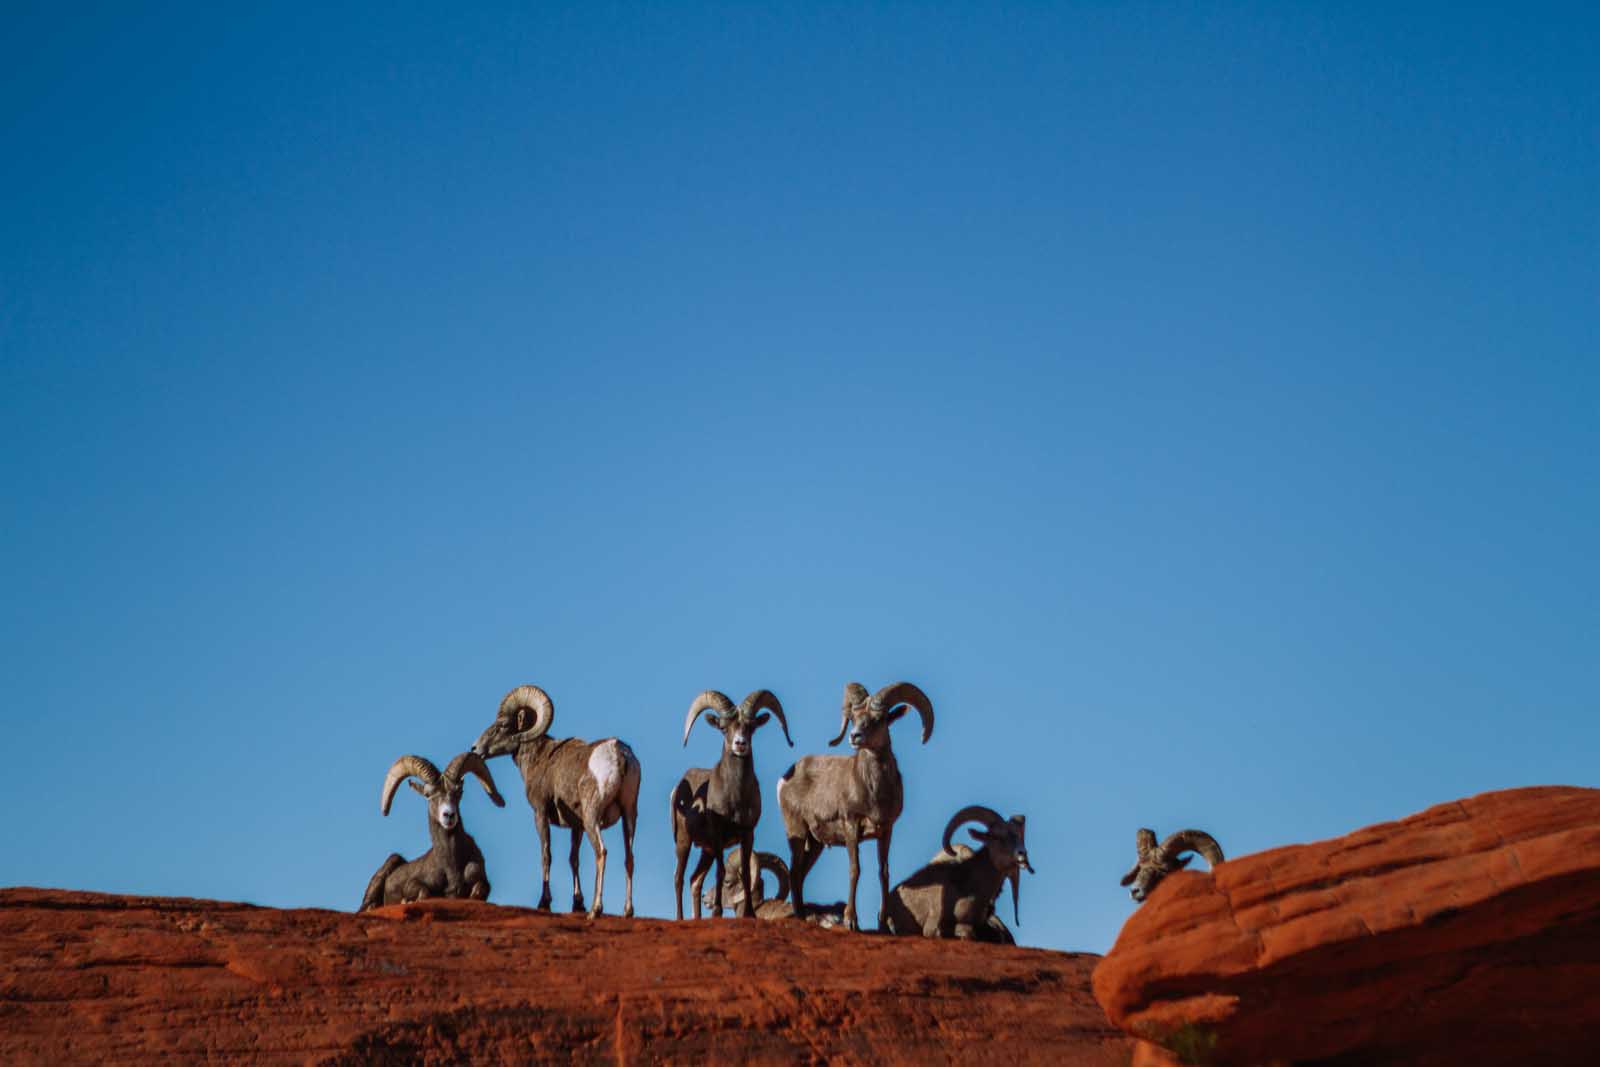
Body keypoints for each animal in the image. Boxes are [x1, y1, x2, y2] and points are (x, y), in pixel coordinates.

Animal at [358, 751, 502, 908]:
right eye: (428, 795)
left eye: (459, 792)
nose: (449, 815)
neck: (452, 868)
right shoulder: (413, 884)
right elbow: (424, 892)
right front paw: (406, 901)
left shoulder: (481, 881)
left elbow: (479, 890)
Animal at [473, 687, 643, 921]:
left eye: (502, 725)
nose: (475, 748)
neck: (539, 758)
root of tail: (619, 753)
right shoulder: (576, 826)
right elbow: (573, 859)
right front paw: (577, 904)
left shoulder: (541, 813)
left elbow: (546, 855)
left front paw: (544, 902)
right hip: (629, 815)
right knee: (630, 858)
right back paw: (627, 911)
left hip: (592, 818)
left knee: (601, 852)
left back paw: (595, 910)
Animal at [665, 687, 790, 921]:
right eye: (723, 728)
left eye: (751, 727)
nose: (740, 744)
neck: (735, 797)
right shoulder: (717, 835)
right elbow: (720, 871)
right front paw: (717, 912)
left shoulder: (747, 833)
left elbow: (747, 873)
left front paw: (750, 913)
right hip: (684, 842)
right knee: (679, 877)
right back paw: (680, 918)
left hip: (706, 851)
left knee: (695, 881)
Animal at [777, 681, 934, 927]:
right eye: (853, 718)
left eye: (878, 719)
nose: (854, 736)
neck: (874, 792)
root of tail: (786, 777)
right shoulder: (851, 824)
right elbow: (855, 870)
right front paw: (851, 920)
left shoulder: (886, 829)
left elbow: (883, 873)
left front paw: (883, 923)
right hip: (797, 831)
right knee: (794, 873)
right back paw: (800, 917)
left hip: (815, 843)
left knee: (800, 875)